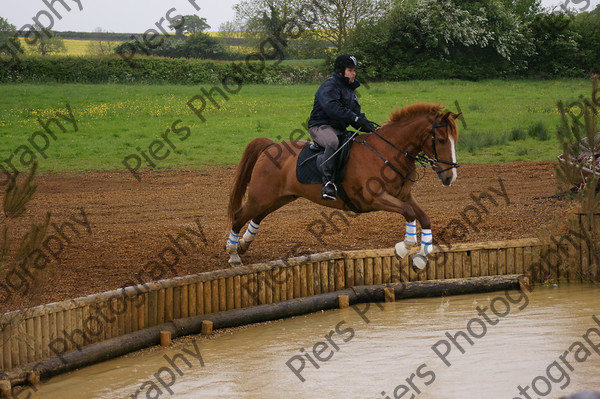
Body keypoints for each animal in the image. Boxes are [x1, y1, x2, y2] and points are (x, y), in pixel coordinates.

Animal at [225, 103, 460, 272]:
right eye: (441, 140)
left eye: (453, 140)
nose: (450, 177)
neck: (388, 152)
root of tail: (271, 147)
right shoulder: (375, 197)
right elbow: (409, 213)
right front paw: (404, 247)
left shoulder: (403, 195)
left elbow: (424, 218)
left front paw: (422, 256)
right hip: (262, 195)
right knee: (239, 216)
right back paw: (233, 254)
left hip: (280, 197)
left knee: (258, 215)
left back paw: (243, 244)